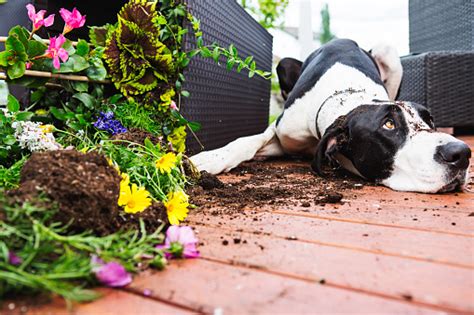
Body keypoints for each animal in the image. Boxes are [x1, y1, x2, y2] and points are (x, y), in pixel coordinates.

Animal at [191, 38, 472, 194]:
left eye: (429, 121)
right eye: (389, 125)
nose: (461, 153)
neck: (347, 97)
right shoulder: (283, 133)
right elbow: (247, 141)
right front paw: (209, 159)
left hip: (388, 53)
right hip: (283, 64)